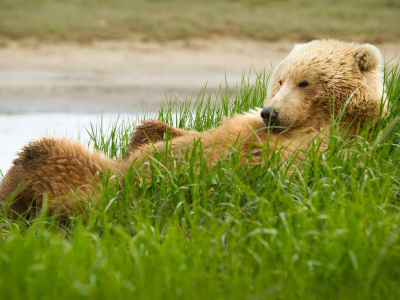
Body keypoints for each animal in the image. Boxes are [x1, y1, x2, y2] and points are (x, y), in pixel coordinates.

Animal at [0, 39, 388, 218]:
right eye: (280, 80)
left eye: (304, 82)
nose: (270, 112)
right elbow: (177, 133)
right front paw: (150, 135)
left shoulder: (317, 146)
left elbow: (240, 165)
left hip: (93, 189)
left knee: (41, 153)